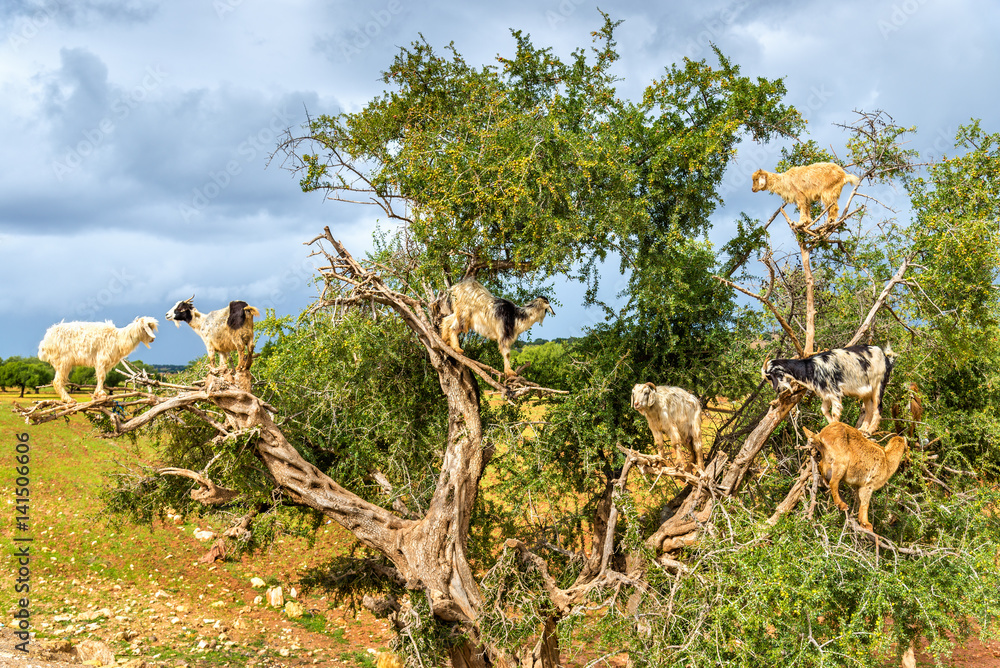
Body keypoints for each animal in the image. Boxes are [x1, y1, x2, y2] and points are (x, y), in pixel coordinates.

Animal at [760, 344, 896, 434]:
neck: (810, 367)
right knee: (868, 409)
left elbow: (835, 412)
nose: (778, 390)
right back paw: (863, 429)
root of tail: (886, 357)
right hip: (866, 392)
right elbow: (824, 409)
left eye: (769, 376)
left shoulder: (835, 392)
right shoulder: (826, 394)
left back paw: (870, 430)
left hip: (879, 384)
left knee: (878, 407)